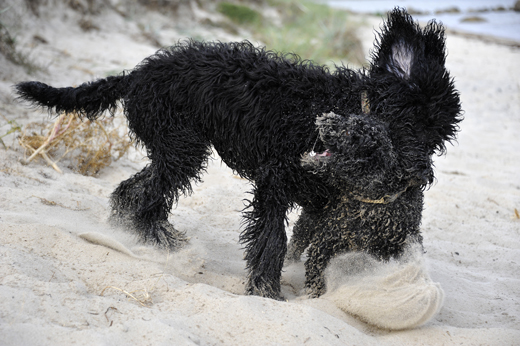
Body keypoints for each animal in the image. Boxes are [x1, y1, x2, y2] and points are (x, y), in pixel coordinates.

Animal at [14, 8, 462, 300]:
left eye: (442, 137)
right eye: (419, 125)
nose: (420, 176)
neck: (342, 105)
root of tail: (138, 74)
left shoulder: (315, 198)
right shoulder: (276, 180)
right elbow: (272, 240)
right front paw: (266, 290)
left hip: (175, 149)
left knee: (135, 190)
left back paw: (144, 236)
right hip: (180, 148)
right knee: (145, 194)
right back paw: (156, 239)